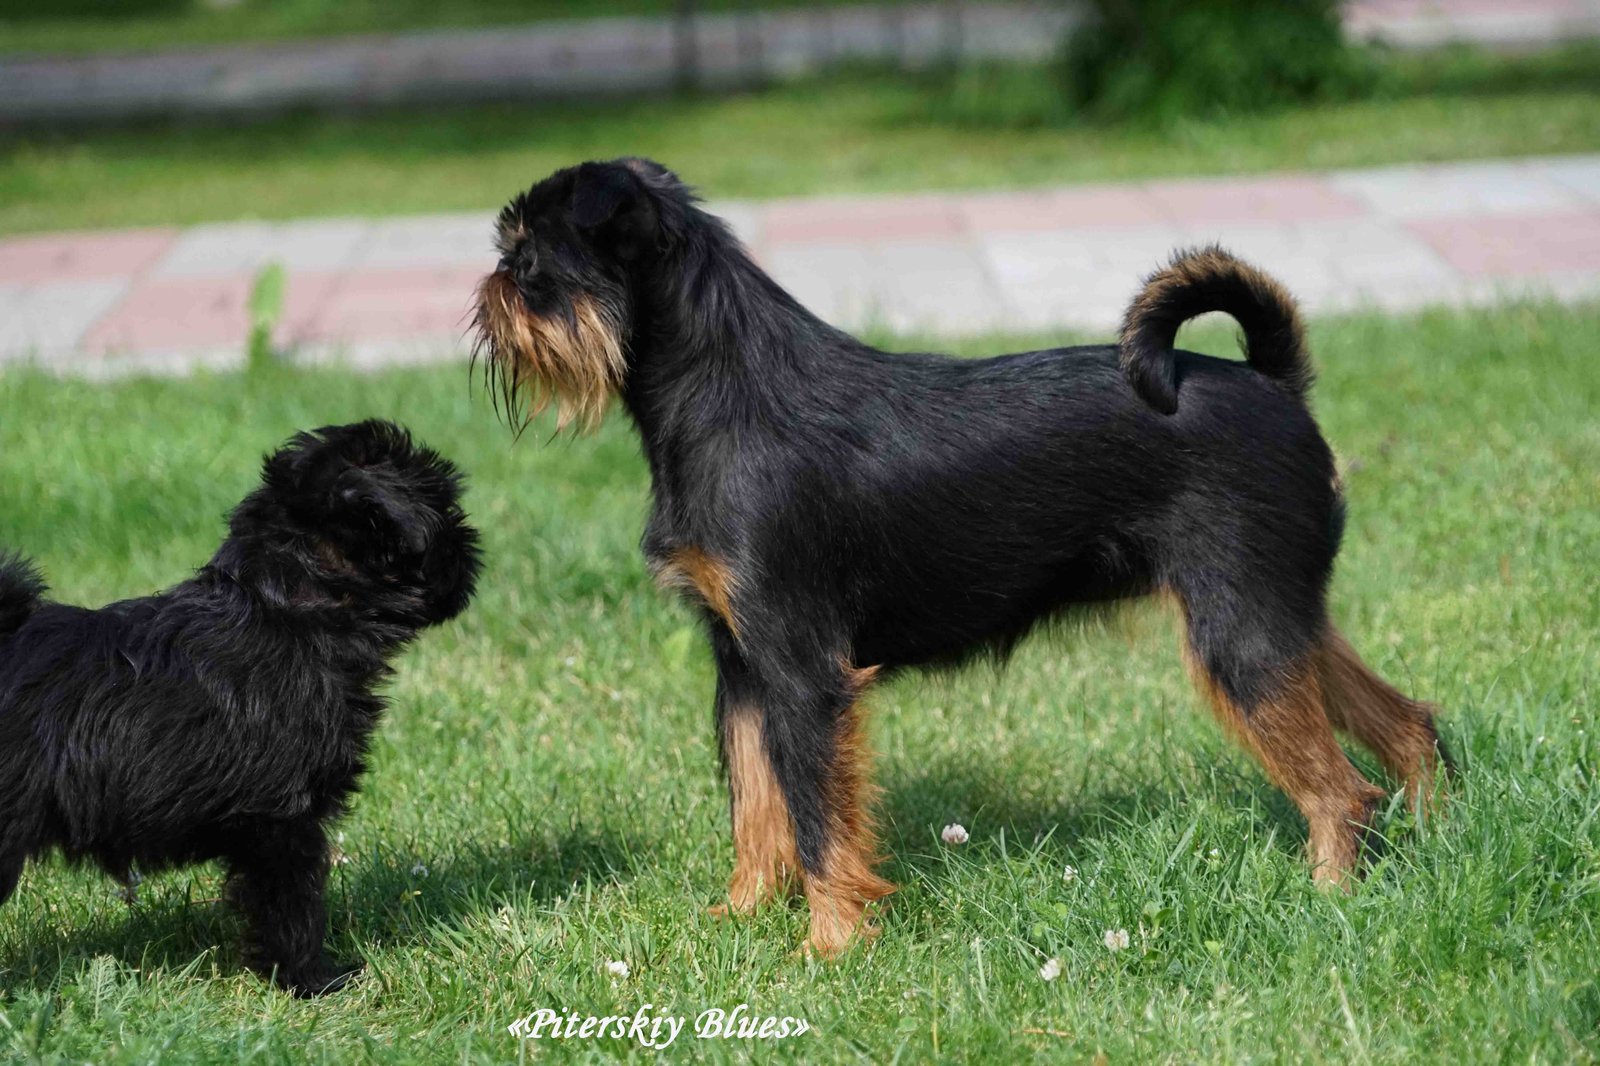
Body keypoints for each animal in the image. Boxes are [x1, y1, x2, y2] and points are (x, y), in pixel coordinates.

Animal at [0, 420, 480, 995]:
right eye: (445, 506)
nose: (469, 542)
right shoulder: (281, 818)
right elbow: (292, 904)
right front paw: (313, 981)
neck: (286, 604)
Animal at [472, 158, 1447, 957]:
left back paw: (1331, 899)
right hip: (1279, 617)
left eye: (530, 262)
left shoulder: (800, 673)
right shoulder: (744, 668)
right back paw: (1437, 835)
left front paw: (830, 946)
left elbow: (816, 817)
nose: (488, 288)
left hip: (1238, 634)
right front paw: (742, 917)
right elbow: (757, 803)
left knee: (1339, 790)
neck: (728, 390)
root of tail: (1272, 381)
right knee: (1409, 726)